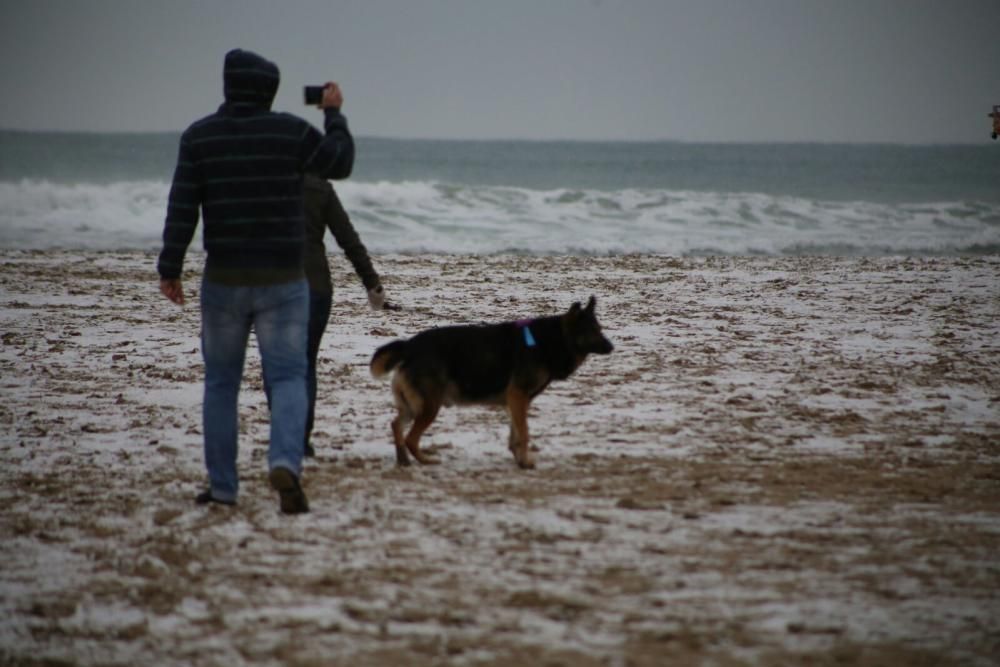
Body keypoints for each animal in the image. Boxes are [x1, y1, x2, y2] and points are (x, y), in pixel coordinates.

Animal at [372, 298, 612, 470]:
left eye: (599, 328)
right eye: (593, 331)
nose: (612, 347)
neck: (551, 339)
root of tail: (409, 345)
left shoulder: (517, 401)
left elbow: (516, 433)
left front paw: (519, 459)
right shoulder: (518, 396)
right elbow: (524, 432)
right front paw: (525, 461)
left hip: (414, 406)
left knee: (396, 425)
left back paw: (403, 461)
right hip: (430, 406)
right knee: (411, 438)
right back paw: (425, 460)